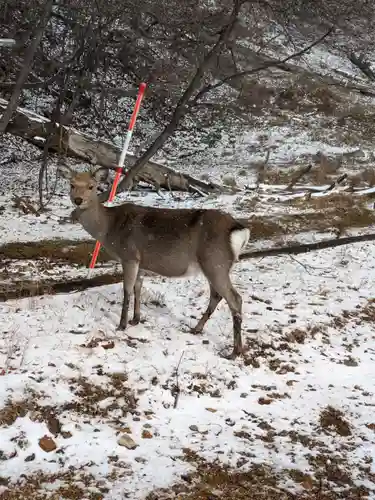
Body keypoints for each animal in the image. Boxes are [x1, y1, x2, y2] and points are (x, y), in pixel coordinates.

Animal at [58, 166, 253, 358]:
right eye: (71, 184)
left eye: (91, 186)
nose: (78, 200)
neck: (108, 229)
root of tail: (240, 231)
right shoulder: (141, 262)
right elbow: (138, 287)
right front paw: (135, 319)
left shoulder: (129, 255)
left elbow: (127, 290)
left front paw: (122, 325)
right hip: (214, 266)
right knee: (216, 295)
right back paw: (196, 329)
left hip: (215, 262)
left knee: (235, 299)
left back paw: (235, 352)